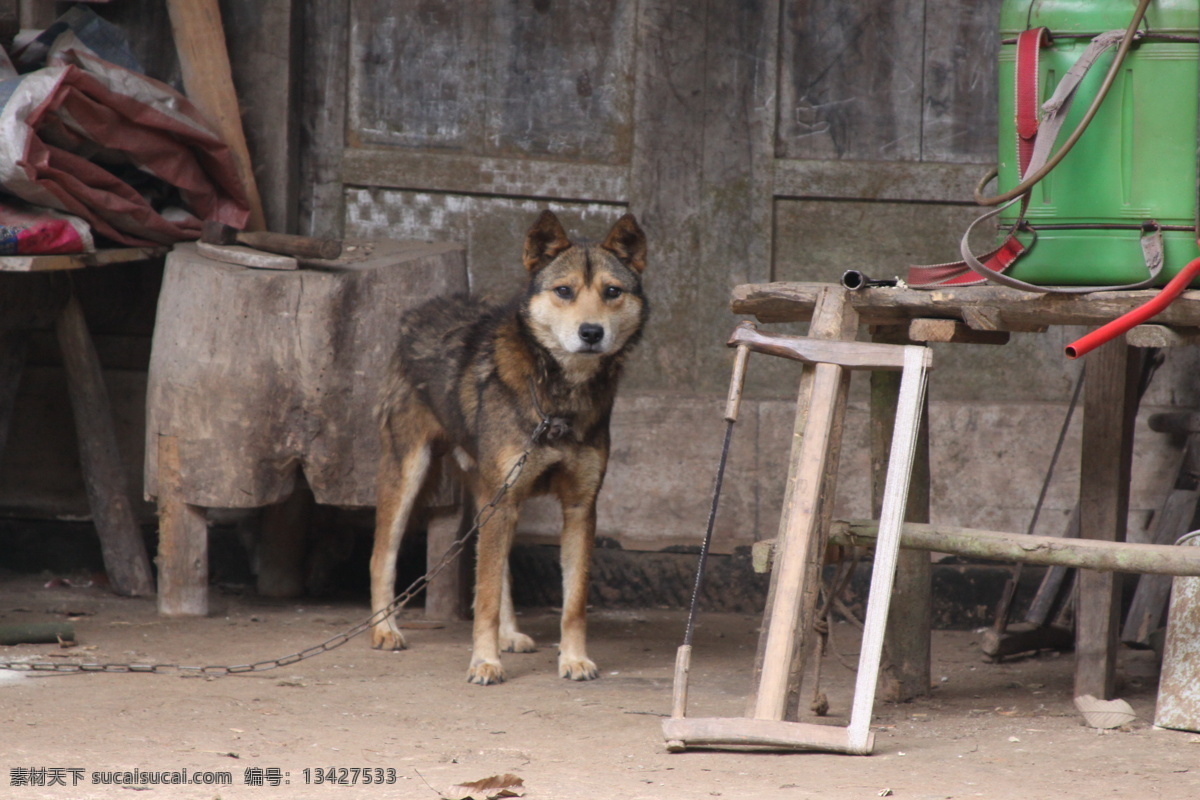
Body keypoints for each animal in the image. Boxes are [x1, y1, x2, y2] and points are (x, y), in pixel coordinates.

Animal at [369, 209, 648, 686]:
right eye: (564, 291)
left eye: (612, 291)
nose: (591, 333)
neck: (558, 400)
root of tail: (422, 309)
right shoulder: (507, 501)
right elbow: (482, 598)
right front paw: (484, 662)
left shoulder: (579, 506)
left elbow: (572, 602)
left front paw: (573, 658)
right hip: (410, 472)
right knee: (381, 555)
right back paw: (385, 630)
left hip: (493, 495)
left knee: (495, 572)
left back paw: (510, 634)